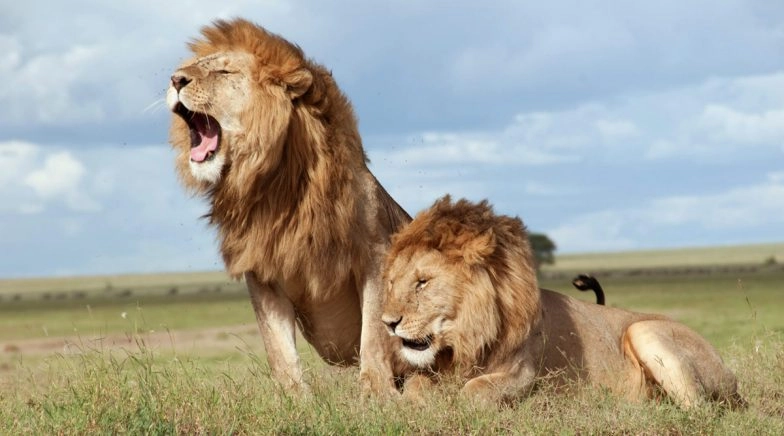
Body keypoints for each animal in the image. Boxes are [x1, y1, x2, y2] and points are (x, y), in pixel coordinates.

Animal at [167, 19, 410, 396]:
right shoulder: (262, 270)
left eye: (223, 71)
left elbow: (373, 334)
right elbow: (277, 347)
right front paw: (294, 399)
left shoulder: (375, 255)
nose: (175, 79)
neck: (275, 187)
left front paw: (376, 395)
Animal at [381, 196, 743, 408]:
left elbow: (474, 391)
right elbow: (415, 386)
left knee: (700, 410)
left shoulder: (524, 374)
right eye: (392, 282)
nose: (388, 323)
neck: (466, 339)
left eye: (423, 282)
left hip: (645, 330)